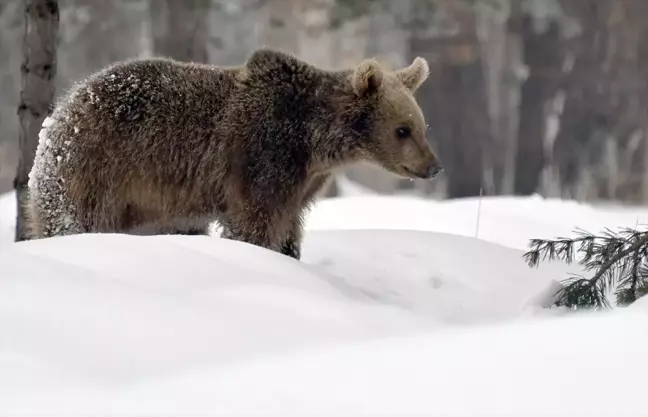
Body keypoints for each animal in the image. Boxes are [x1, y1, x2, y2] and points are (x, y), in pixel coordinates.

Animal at [25, 47, 440, 258]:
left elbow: (289, 228)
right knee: (73, 219)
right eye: (402, 129)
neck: (315, 142)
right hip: (97, 167)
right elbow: (255, 222)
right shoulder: (263, 157)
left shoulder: (302, 183)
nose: (433, 166)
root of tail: (63, 107)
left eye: (422, 127)